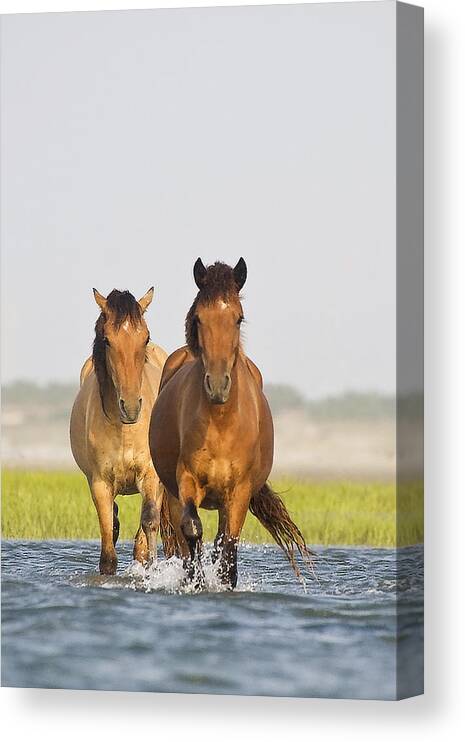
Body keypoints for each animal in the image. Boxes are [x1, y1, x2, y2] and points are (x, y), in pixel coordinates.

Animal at [70, 290, 168, 576]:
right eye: (107, 340)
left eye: (144, 337)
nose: (132, 407)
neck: (125, 430)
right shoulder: (100, 484)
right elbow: (108, 550)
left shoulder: (150, 476)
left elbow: (148, 524)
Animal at [148, 258, 312, 588]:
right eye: (199, 318)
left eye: (239, 318)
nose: (217, 385)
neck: (221, 424)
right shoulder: (186, 482)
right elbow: (192, 530)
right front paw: (197, 582)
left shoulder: (239, 493)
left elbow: (228, 547)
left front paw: (223, 583)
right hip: (173, 493)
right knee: (186, 540)